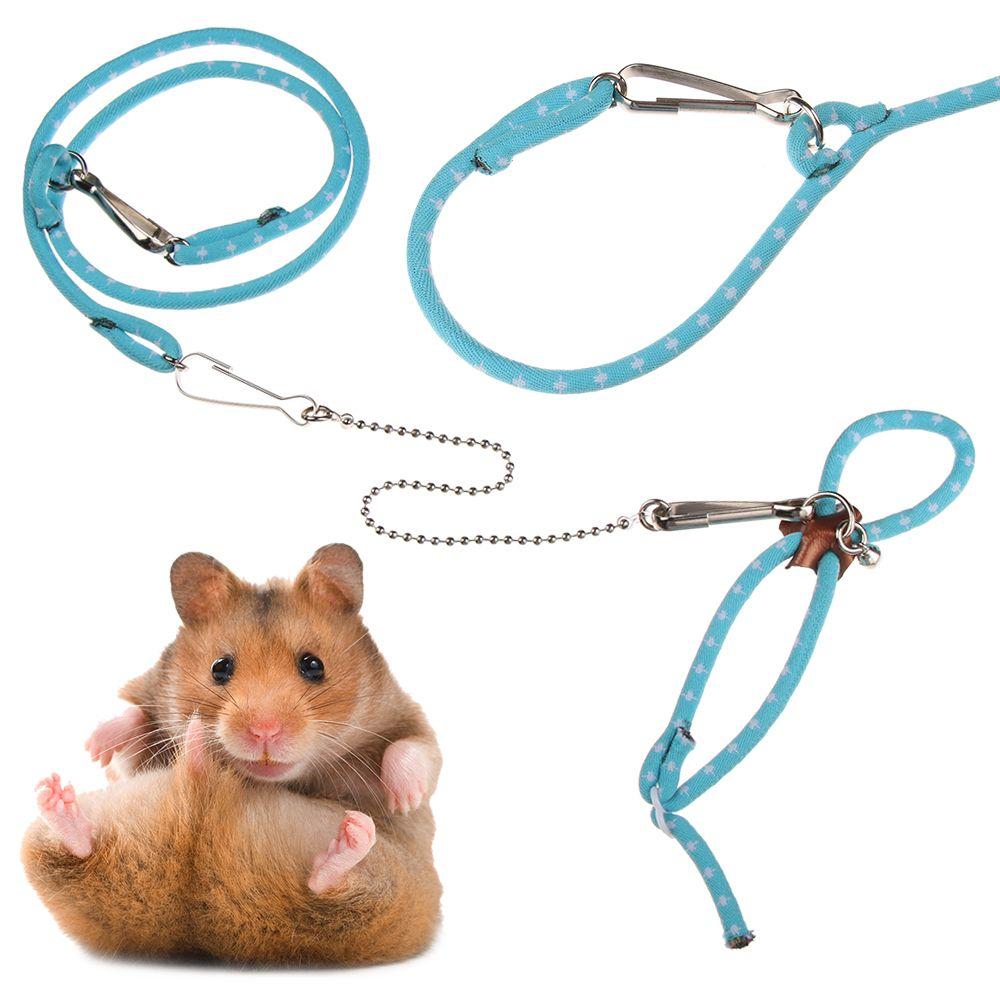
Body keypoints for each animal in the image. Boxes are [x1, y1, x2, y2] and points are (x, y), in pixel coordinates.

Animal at [22, 544, 442, 964]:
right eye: (220, 667)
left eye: (313, 665)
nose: (264, 731)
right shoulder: (137, 744)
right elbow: (131, 730)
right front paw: (96, 746)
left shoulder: (407, 717)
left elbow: (414, 750)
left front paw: (404, 798)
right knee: (77, 851)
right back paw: (59, 796)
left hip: (385, 895)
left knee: (330, 890)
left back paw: (352, 834)